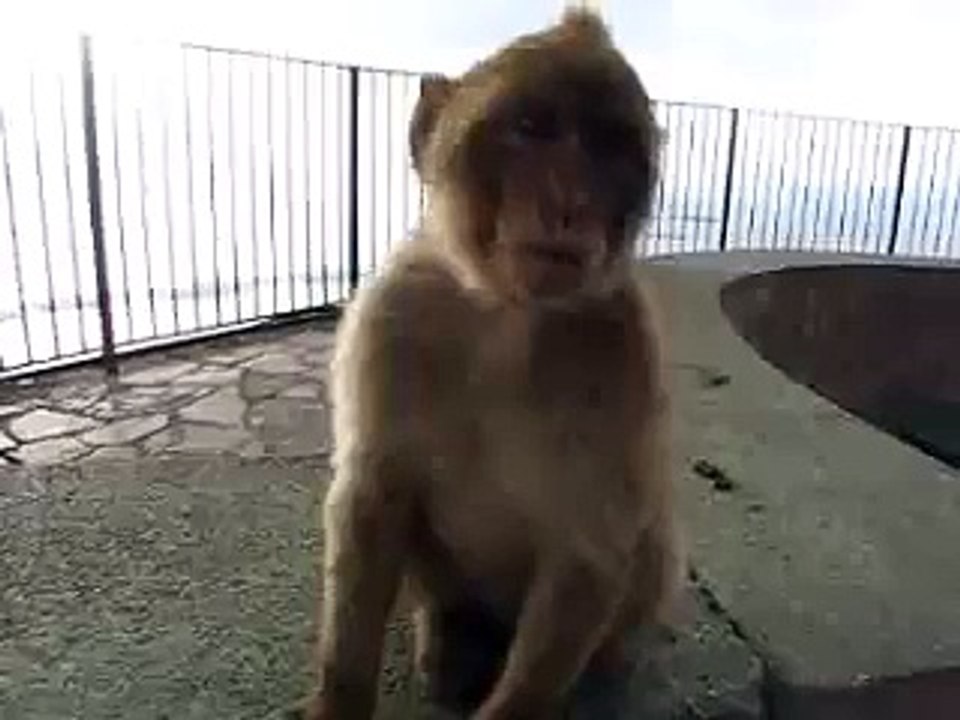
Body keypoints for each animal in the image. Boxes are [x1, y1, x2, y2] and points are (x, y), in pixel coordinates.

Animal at [305, 8, 685, 719]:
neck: (506, 318)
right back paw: (449, 637)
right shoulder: (391, 316)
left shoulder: (625, 352)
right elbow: (372, 496)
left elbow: (589, 550)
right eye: (531, 127)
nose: (569, 202)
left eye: (610, 147)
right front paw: (339, 699)